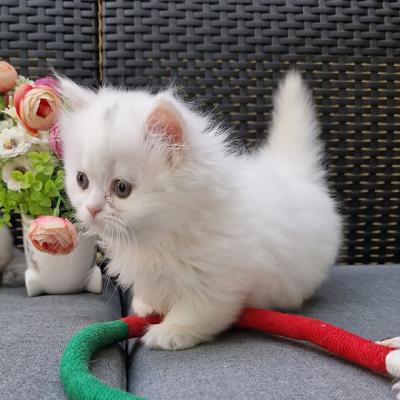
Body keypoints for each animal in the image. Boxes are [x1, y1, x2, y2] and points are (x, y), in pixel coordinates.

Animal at [58, 72, 340, 350]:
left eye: (121, 188)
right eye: (82, 180)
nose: (91, 209)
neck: (158, 236)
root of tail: (292, 170)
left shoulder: (216, 283)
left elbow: (196, 312)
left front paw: (168, 332)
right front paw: (147, 304)